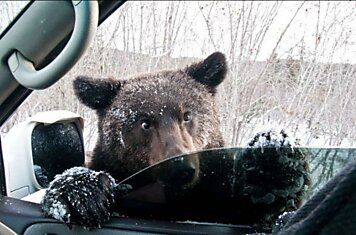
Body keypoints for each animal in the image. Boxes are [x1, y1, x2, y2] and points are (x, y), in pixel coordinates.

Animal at [41, 52, 308, 230]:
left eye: (187, 115)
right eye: (144, 123)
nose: (179, 168)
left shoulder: (218, 197)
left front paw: (273, 161)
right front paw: (80, 193)